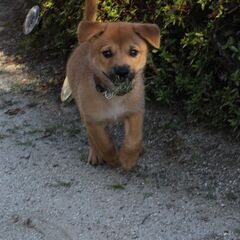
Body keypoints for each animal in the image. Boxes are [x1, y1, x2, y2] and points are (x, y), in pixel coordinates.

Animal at [64, 0, 160, 171]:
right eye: (107, 53)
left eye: (134, 52)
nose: (122, 71)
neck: (115, 95)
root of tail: (85, 43)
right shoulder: (94, 121)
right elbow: (104, 143)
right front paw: (113, 159)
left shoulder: (135, 113)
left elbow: (133, 139)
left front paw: (128, 158)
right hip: (82, 110)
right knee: (91, 138)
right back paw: (95, 154)